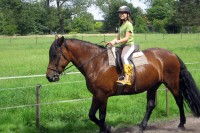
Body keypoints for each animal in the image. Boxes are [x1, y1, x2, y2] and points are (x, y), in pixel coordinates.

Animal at [45, 35, 200, 132]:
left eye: (55, 55)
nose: (49, 77)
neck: (96, 63)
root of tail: (171, 54)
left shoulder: (103, 95)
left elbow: (101, 116)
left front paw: (106, 128)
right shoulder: (96, 95)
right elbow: (91, 115)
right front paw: (107, 128)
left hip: (172, 83)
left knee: (179, 100)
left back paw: (181, 124)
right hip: (153, 85)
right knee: (151, 105)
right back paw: (142, 126)